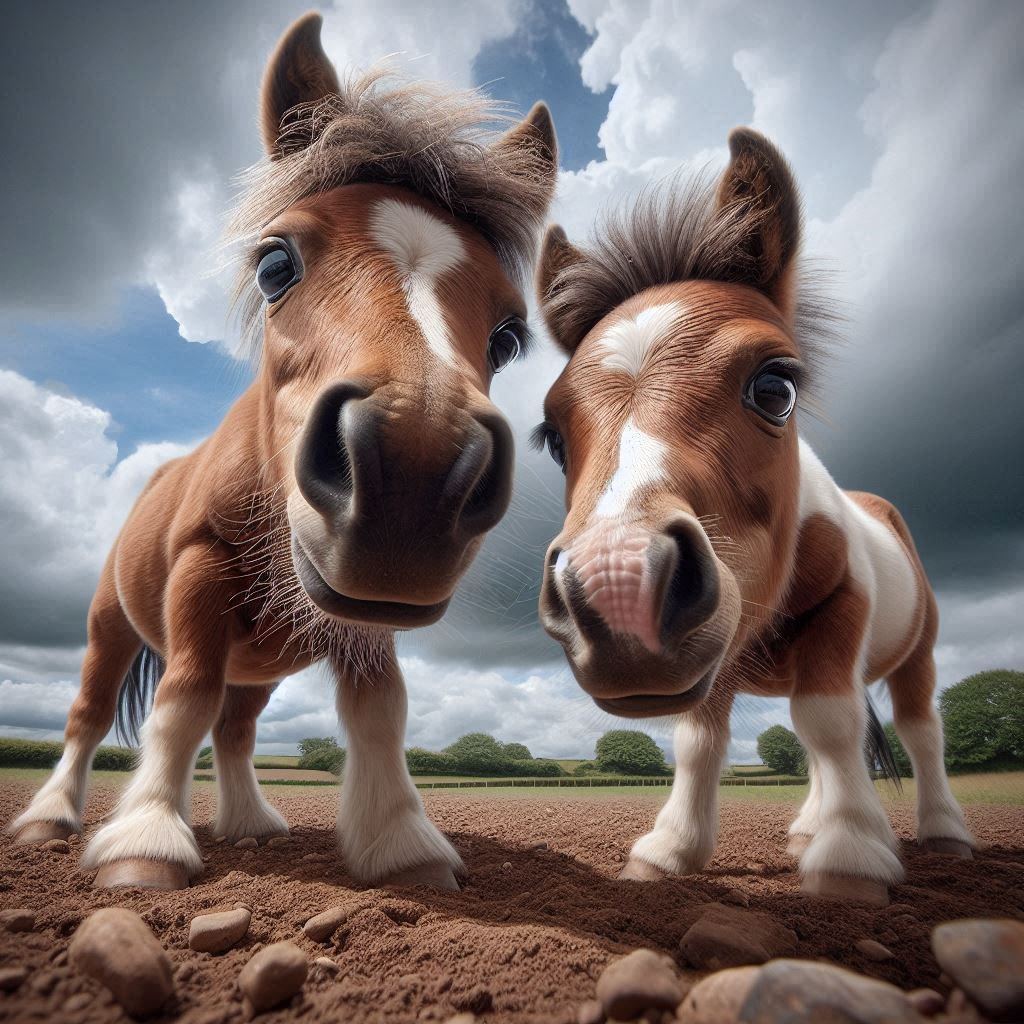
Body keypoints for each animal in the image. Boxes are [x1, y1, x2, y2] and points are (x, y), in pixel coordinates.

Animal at [8, 12, 557, 893]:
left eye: (508, 334)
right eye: (275, 264)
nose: (413, 475)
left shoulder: (361, 612)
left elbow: (379, 710)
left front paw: (401, 842)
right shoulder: (199, 572)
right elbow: (182, 699)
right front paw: (145, 841)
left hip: (259, 664)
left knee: (234, 728)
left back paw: (252, 824)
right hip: (108, 625)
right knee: (91, 713)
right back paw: (50, 818)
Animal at [531, 128, 973, 905]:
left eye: (775, 386)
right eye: (553, 435)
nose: (618, 585)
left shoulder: (841, 610)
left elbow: (829, 721)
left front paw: (851, 856)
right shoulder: (719, 650)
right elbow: (700, 741)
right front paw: (671, 850)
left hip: (915, 650)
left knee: (917, 730)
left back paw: (940, 832)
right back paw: (807, 827)